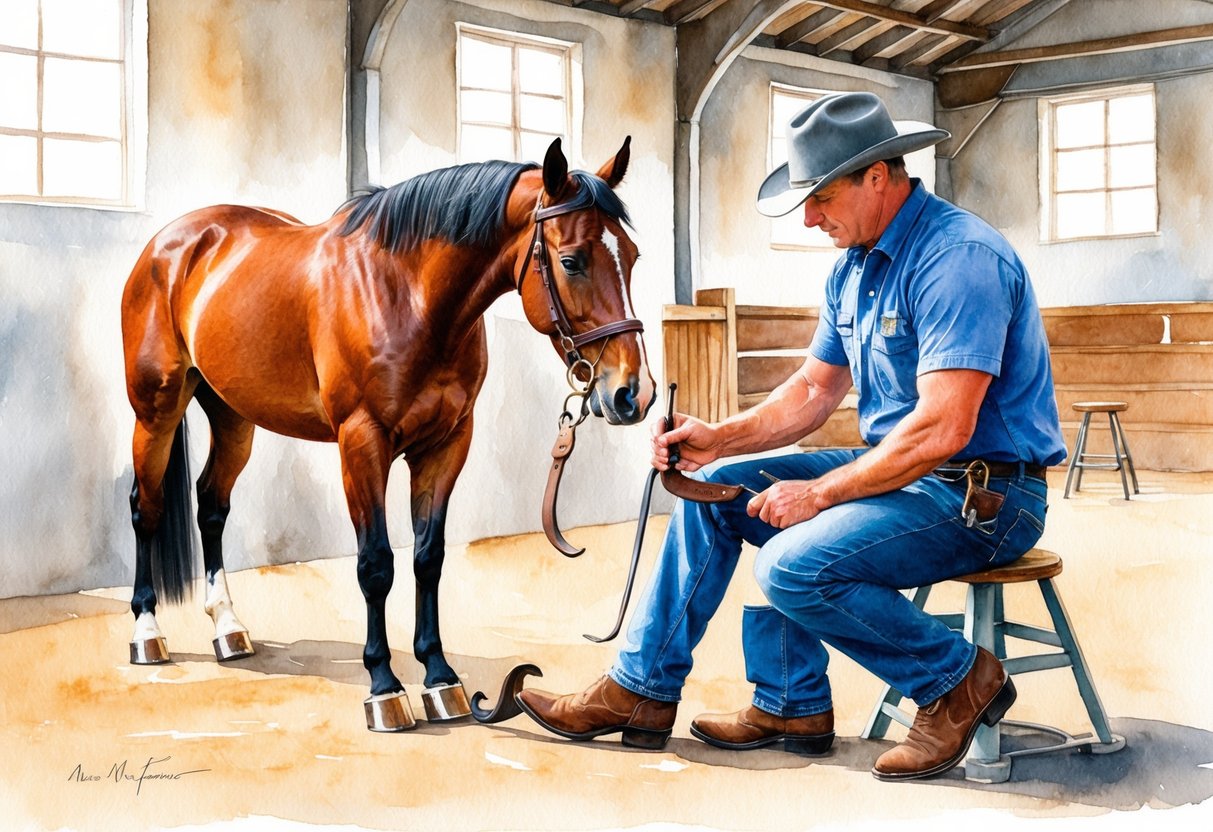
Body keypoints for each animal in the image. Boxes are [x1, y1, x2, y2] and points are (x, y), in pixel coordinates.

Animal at [119, 137, 655, 727]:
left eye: (632, 256)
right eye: (571, 261)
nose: (634, 393)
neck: (406, 295)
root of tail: (172, 242)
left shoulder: (446, 446)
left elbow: (428, 558)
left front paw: (441, 680)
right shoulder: (362, 443)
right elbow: (376, 564)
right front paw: (384, 688)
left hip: (234, 416)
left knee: (212, 504)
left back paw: (229, 629)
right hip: (155, 410)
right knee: (145, 507)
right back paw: (147, 633)